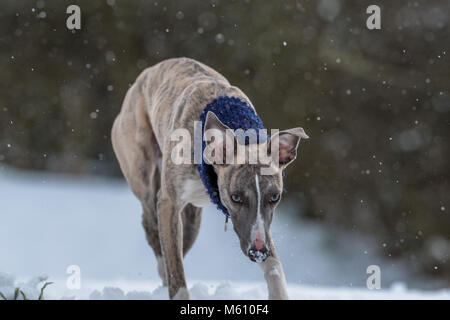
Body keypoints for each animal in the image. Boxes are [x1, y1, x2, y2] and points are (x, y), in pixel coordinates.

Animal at [112, 58, 308, 300]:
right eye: (236, 197)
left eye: (275, 197)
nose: (258, 252)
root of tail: (148, 73)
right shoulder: (169, 203)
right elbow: (176, 272)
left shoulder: (262, 224)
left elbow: (274, 267)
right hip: (143, 173)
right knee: (154, 231)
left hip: (192, 219)